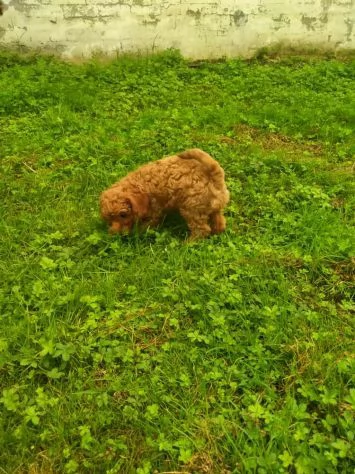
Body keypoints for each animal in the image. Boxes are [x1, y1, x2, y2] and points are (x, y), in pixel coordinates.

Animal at [99, 148, 231, 239]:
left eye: (123, 215)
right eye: (109, 219)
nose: (114, 234)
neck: (139, 185)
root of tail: (215, 178)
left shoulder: (154, 211)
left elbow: (147, 224)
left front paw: (137, 233)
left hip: (192, 209)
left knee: (201, 230)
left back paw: (187, 244)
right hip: (212, 207)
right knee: (219, 221)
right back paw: (216, 233)